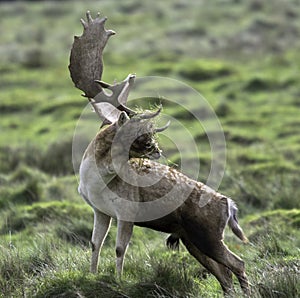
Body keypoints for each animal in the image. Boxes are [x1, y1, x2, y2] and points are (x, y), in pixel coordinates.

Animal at [69, 11, 250, 296]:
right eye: (140, 134)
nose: (157, 150)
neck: (94, 181)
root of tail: (228, 204)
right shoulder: (100, 211)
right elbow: (95, 244)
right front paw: (92, 276)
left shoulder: (127, 212)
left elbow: (119, 249)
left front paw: (118, 282)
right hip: (192, 241)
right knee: (225, 275)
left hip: (208, 236)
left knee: (238, 264)